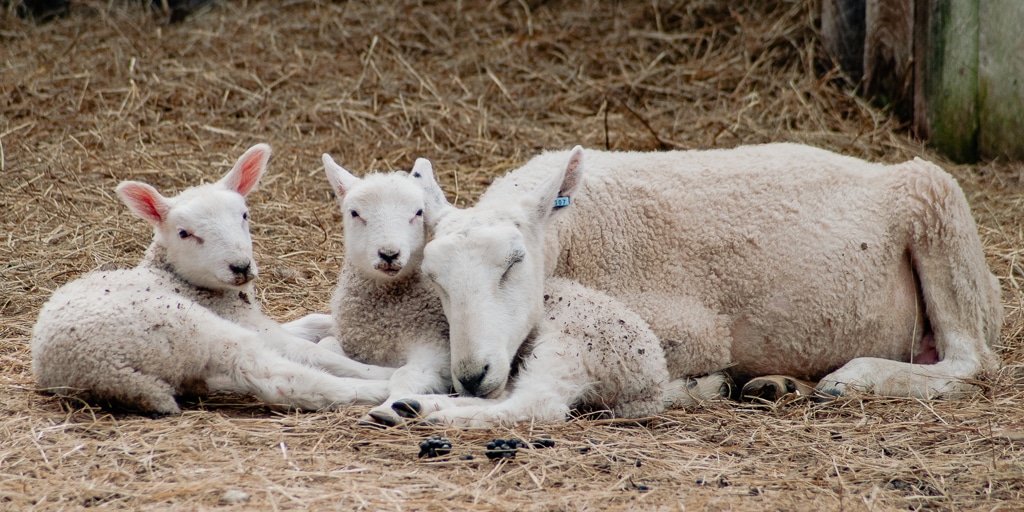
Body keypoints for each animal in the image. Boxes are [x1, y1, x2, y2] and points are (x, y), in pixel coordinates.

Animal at [29, 144, 397, 415]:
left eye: (244, 215)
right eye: (184, 233)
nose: (241, 266)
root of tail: (102, 372)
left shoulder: (251, 319)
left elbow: (306, 325)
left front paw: (326, 324)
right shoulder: (242, 323)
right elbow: (312, 353)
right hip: (190, 330)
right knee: (276, 376)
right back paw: (381, 385)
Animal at [405, 145, 999, 411]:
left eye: (514, 262)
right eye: (434, 280)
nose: (472, 376)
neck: (571, 232)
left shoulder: (697, 331)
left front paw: (698, 386)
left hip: (937, 205)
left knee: (969, 361)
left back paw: (855, 377)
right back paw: (776, 384)